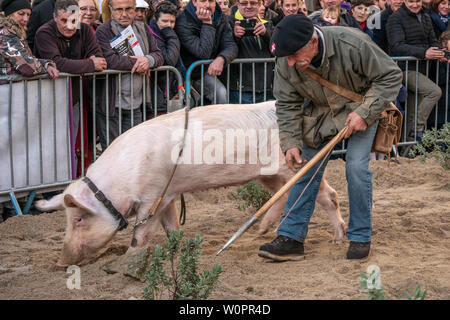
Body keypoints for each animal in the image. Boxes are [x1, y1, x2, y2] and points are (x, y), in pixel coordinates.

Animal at [35, 101, 346, 266]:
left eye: (78, 219)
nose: (61, 262)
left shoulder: (151, 196)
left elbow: (141, 233)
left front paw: (127, 259)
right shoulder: (168, 195)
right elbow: (171, 227)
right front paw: (180, 249)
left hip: (294, 164)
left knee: (327, 195)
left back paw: (336, 239)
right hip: (269, 174)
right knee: (290, 195)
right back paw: (265, 231)